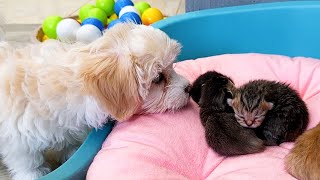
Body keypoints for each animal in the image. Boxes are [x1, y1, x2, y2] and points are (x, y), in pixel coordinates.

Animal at [0, 21, 190, 179]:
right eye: (158, 78)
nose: (188, 87)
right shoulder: (17, 140)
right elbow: (27, 163)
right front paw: (33, 174)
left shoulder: (65, 129)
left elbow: (68, 145)